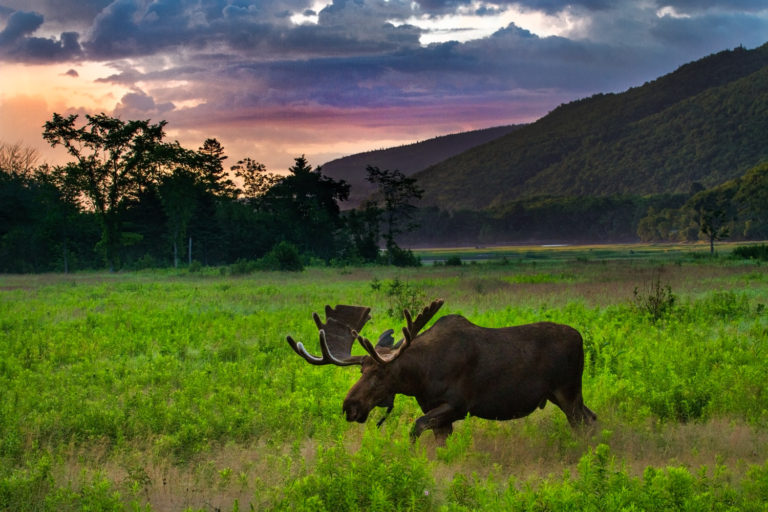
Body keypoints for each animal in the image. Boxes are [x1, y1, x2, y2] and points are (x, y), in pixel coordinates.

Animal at [284, 298, 596, 442]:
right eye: (361, 372)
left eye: (381, 373)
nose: (349, 406)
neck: (418, 378)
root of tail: (580, 337)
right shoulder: (437, 411)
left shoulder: (458, 405)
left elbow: (415, 428)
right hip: (564, 395)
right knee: (592, 418)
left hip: (568, 391)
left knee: (583, 422)